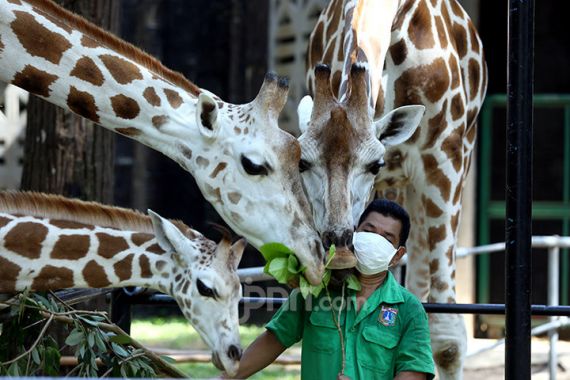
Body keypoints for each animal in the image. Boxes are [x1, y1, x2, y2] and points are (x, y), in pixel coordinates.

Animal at [296, 0, 486, 378]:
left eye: (373, 164)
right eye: (303, 163)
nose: (338, 248)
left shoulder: (443, 160)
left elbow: (447, 340)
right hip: (397, 187)